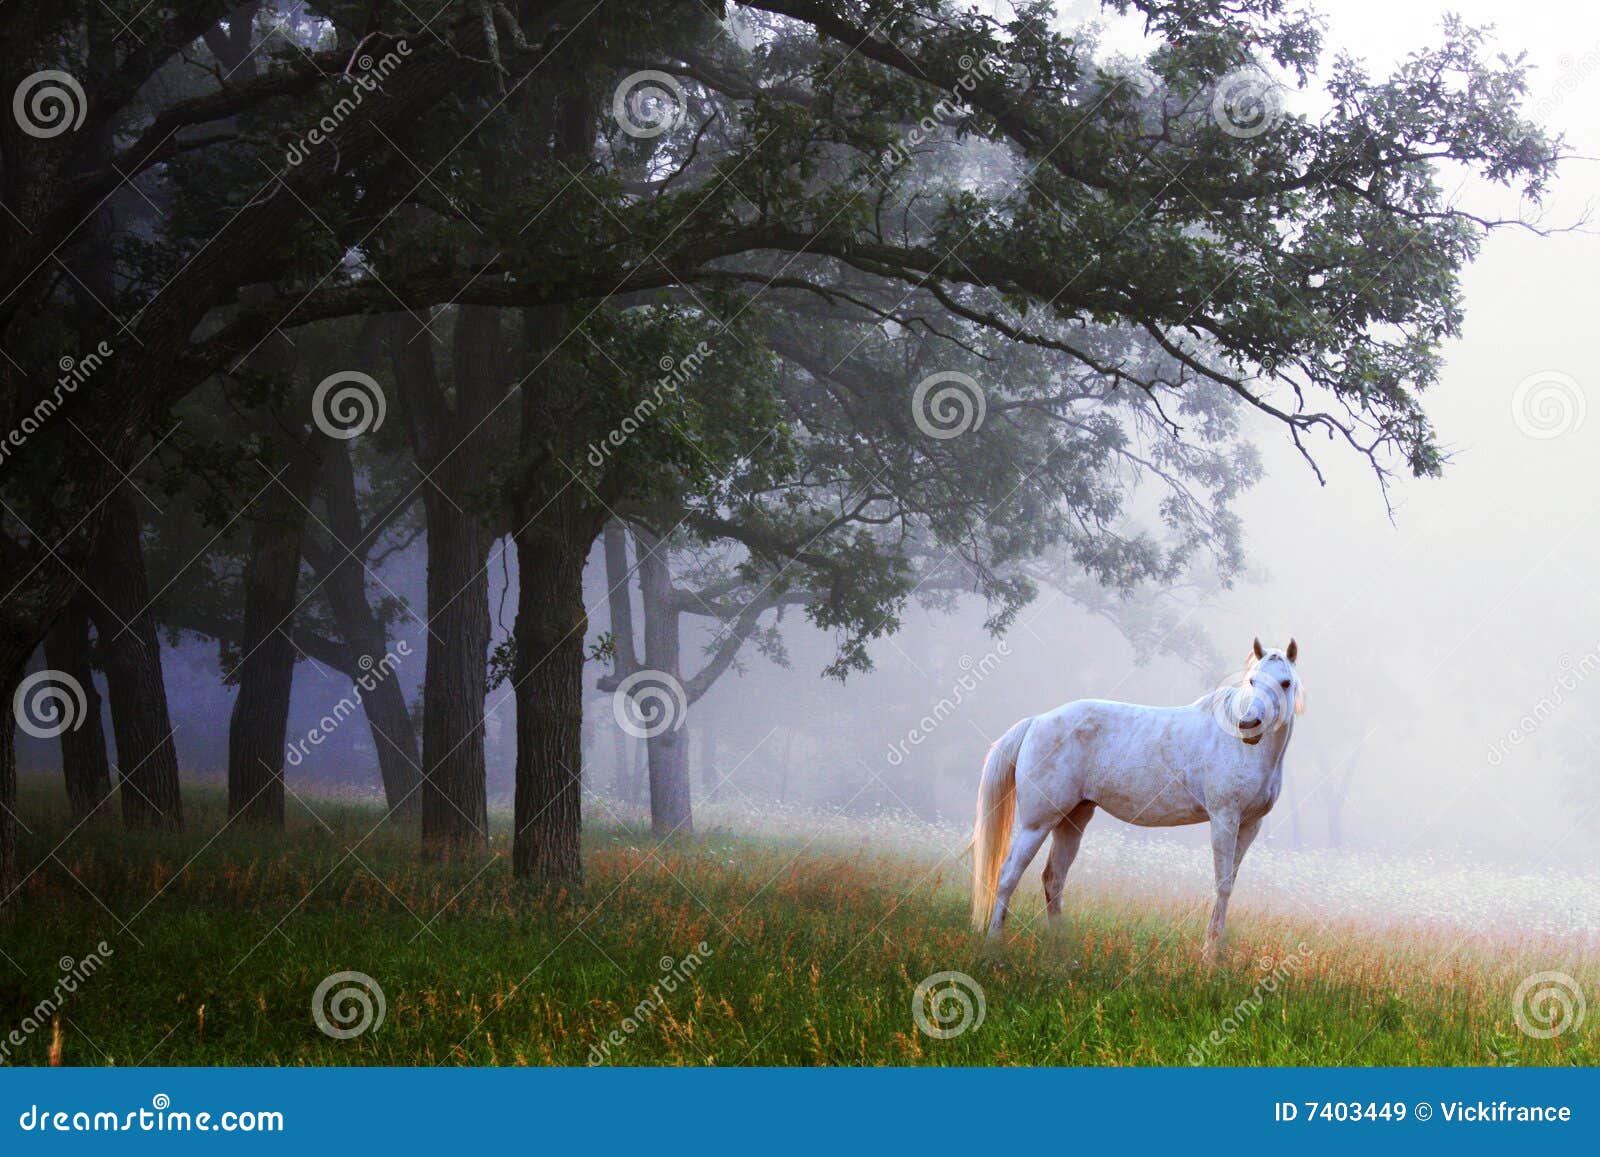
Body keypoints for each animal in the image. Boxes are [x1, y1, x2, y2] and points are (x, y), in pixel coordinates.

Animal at [971, 637, 1304, 956]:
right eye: (1252, 681)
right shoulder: (1224, 819)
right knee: (1009, 874)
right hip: (1037, 824)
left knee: (1054, 878)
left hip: (1073, 819)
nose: (1249, 726)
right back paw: (993, 945)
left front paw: (1217, 950)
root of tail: (1036, 721)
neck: (1240, 747)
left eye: (1285, 683)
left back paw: (1062, 951)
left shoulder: (1249, 825)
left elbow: (1230, 883)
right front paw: (1209, 955)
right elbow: (1222, 885)